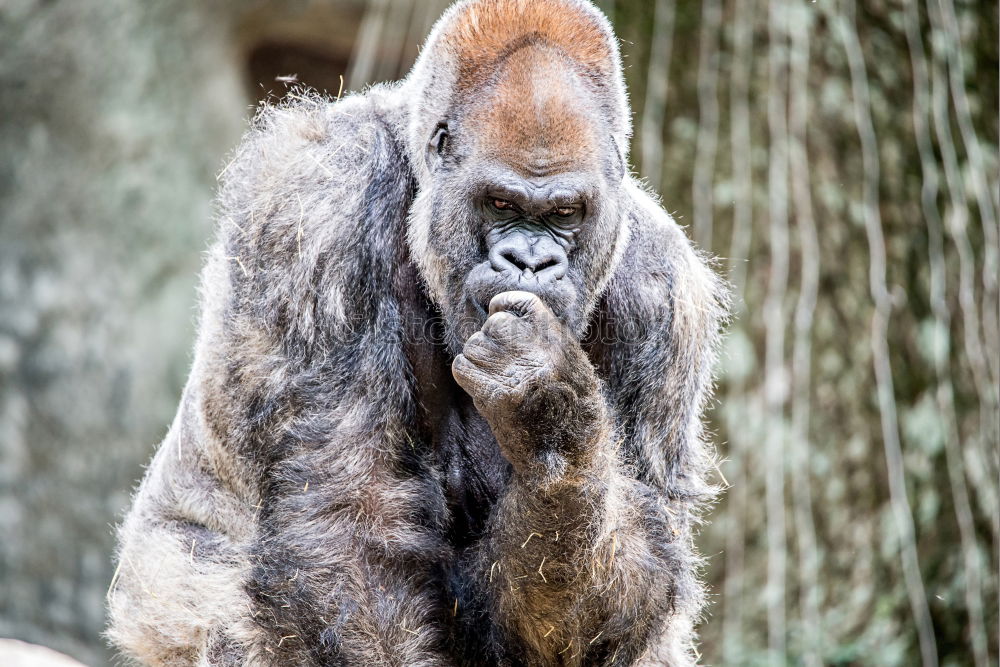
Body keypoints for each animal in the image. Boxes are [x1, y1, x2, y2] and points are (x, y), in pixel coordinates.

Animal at [105, 2, 728, 664]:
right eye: (500, 204)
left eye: (565, 214)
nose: (531, 262)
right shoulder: (319, 206)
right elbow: (349, 526)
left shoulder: (663, 297)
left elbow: (609, 599)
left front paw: (551, 416)